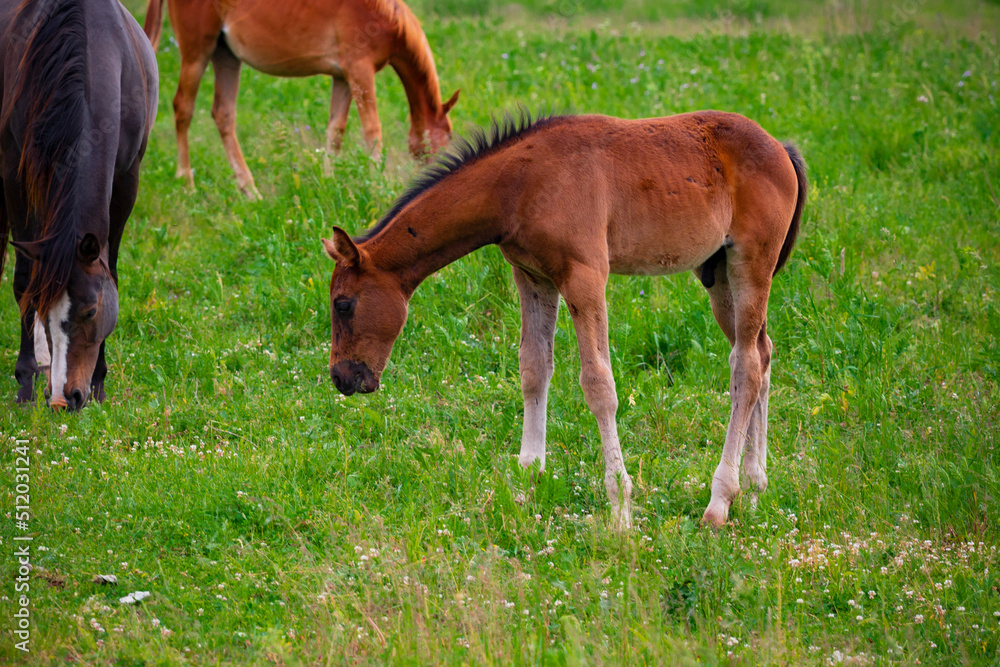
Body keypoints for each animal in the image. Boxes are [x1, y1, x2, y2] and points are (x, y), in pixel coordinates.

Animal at [1, 0, 158, 410]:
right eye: (44, 308)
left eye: (90, 310)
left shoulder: (127, 179)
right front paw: (26, 381)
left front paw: (100, 380)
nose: (63, 398)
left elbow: (111, 271)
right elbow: (25, 278)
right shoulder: (15, 174)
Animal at [143, 0, 460, 199]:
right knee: (183, 109)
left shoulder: (343, 78)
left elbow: (335, 132)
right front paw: (378, 185)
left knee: (223, 114)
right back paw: (187, 183)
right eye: (444, 143)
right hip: (197, 53)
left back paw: (250, 190)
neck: (385, 13)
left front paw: (329, 181)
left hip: (226, 56)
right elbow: (373, 132)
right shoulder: (360, 71)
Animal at [321, 110, 807, 530]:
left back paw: (720, 501)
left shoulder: (585, 276)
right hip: (718, 274)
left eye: (343, 304)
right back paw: (755, 489)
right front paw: (528, 482)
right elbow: (534, 370)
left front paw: (619, 509)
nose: (342, 377)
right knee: (761, 354)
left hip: (750, 264)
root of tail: (780, 148)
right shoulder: (532, 276)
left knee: (745, 365)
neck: (518, 186)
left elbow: (599, 385)